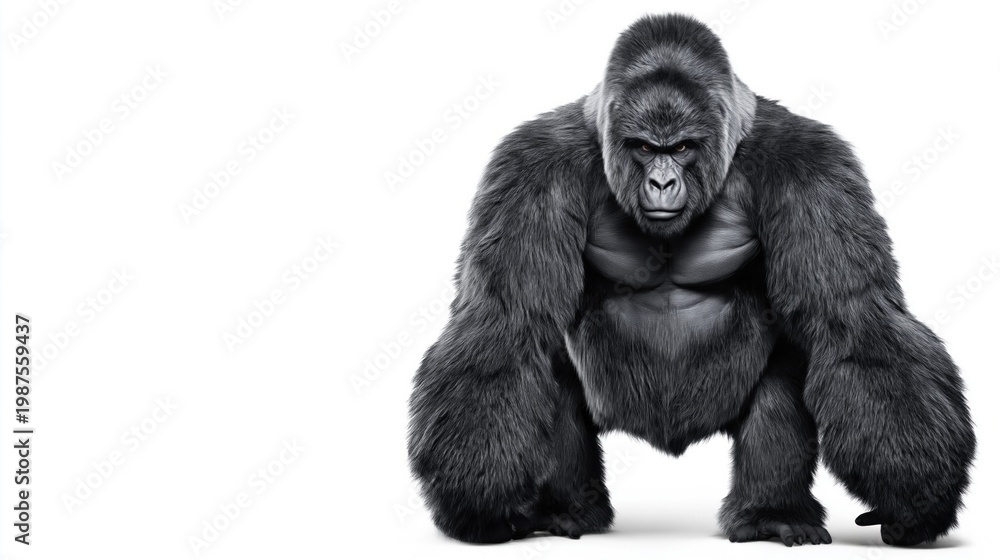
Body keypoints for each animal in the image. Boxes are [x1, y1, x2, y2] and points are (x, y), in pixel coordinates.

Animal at [406, 14, 975, 547]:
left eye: (680, 148)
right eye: (642, 147)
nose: (661, 181)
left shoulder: (813, 168)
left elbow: (854, 319)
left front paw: (916, 499)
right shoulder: (530, 166)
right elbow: (504, 323)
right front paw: (478, 502)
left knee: (785, 379)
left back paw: (771, 513)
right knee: (548, 368)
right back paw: (566, 509)